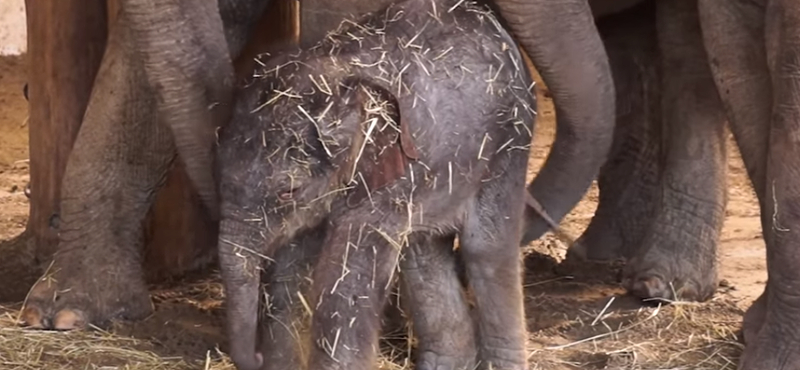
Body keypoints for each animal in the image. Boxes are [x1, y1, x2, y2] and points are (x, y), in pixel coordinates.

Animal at [216, 0, 536, 370]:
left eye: (288, 191)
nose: (253, 356)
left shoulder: (384, 182)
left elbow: (344, 283)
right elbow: (289, 272)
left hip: (508, 144)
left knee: (485, 248)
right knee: (423, 254)